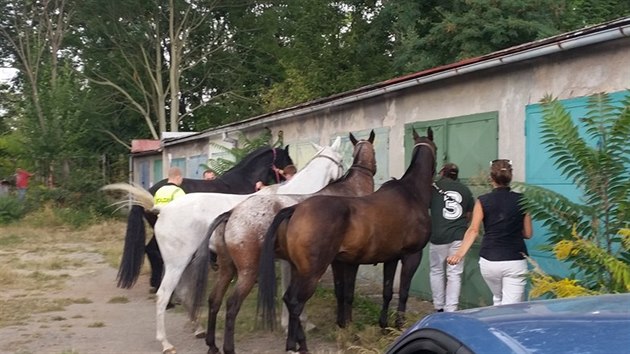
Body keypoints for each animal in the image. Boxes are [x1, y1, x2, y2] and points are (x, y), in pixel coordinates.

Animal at [199, 129, 376, 354]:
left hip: (227, 267)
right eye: (342, 160)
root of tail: (231, 214)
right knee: (231, 304)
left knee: (214, 299)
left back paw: (212, 344)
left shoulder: (290, 263)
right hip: (248, 270)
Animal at [260, 127, 436, 354]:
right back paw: (303, 346)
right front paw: (399, 325)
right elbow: (403, 292)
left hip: (299, 269)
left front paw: (383, 326)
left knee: (289, 299)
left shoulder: (390, 257)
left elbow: (387, 292)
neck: (411, 193)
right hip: (312, 273)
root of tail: (295, 209)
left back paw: (292, 344)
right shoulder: (411, 255)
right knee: (296, 302)